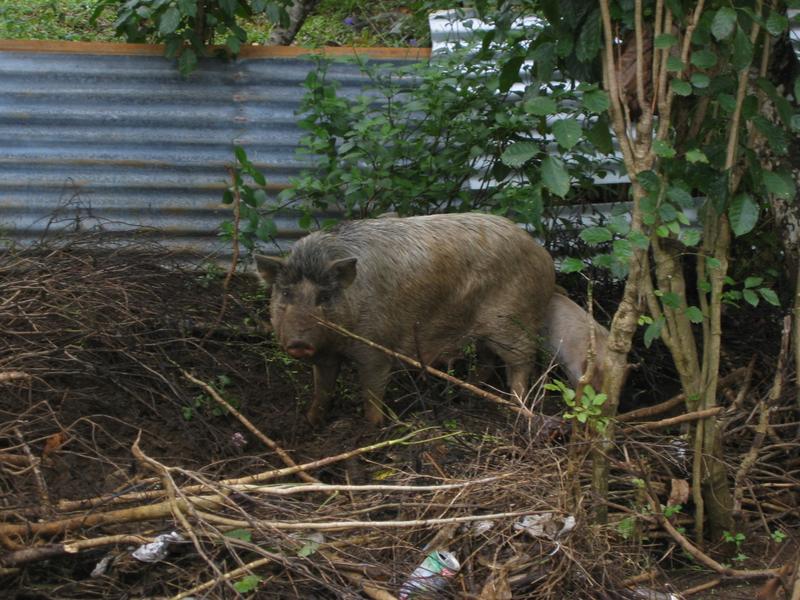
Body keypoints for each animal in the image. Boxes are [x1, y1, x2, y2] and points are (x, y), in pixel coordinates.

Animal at [255, 213, 555, 428]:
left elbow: (372, 390)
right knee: (487, 361)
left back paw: (518, 407)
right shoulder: (326, 354)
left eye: (325, 296)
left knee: (522, 363)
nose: (298, 343)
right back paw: (466, 394)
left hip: (513, 322)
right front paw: (311, 422)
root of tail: (542, 253)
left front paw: (374, 427)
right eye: (285, 293)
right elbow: (323, 388)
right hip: (484, 331)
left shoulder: (376, 347)